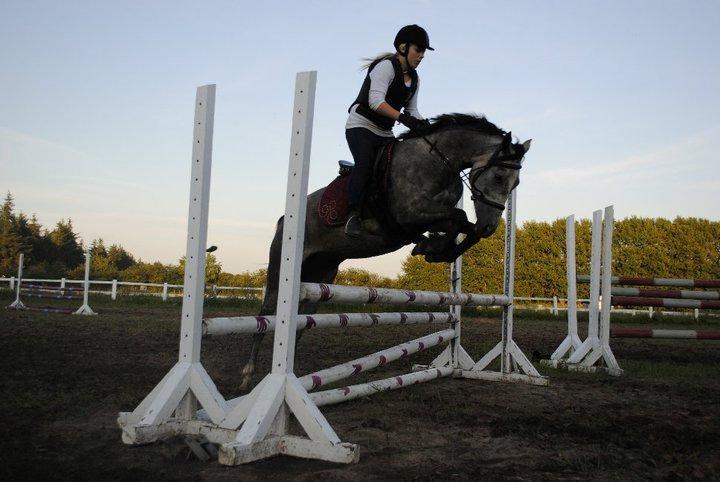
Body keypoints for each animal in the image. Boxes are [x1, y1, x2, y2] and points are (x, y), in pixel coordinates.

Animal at [240, 113, 528, 388]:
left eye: (516, 184)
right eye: (499, 176)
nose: (489, 226)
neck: (438, 163)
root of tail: (284, 219)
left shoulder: (433, 217)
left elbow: (463, 226)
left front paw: (436, 249)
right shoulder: (409, 215)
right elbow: (459, 216)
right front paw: (433, 247)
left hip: (321, 277)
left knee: (300, 324)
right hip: (282, 269)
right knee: (265, 315)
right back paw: (247, 375)